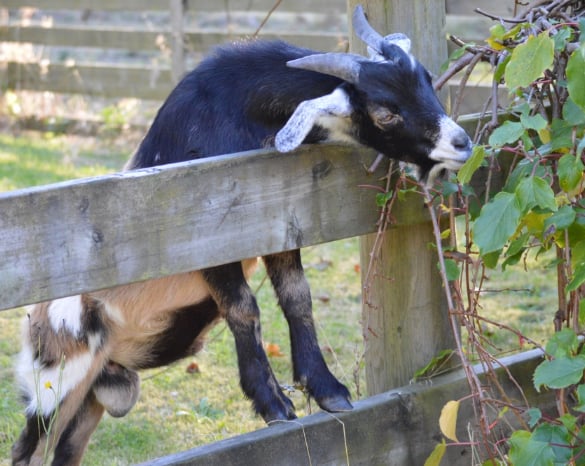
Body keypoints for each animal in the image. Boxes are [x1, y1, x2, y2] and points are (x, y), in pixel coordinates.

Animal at [11, 5, 472, 464]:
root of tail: (35, 321)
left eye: (427, 79)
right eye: (385, 112)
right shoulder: (209, 238)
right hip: (55, 382)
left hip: (90, 395)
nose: (462, 144)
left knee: (67, 448)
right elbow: (243, 307)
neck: (231, 113)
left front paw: (326, 389)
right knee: (27, 448)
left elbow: (297, 298)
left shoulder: (276, 225)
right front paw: (273, 404)